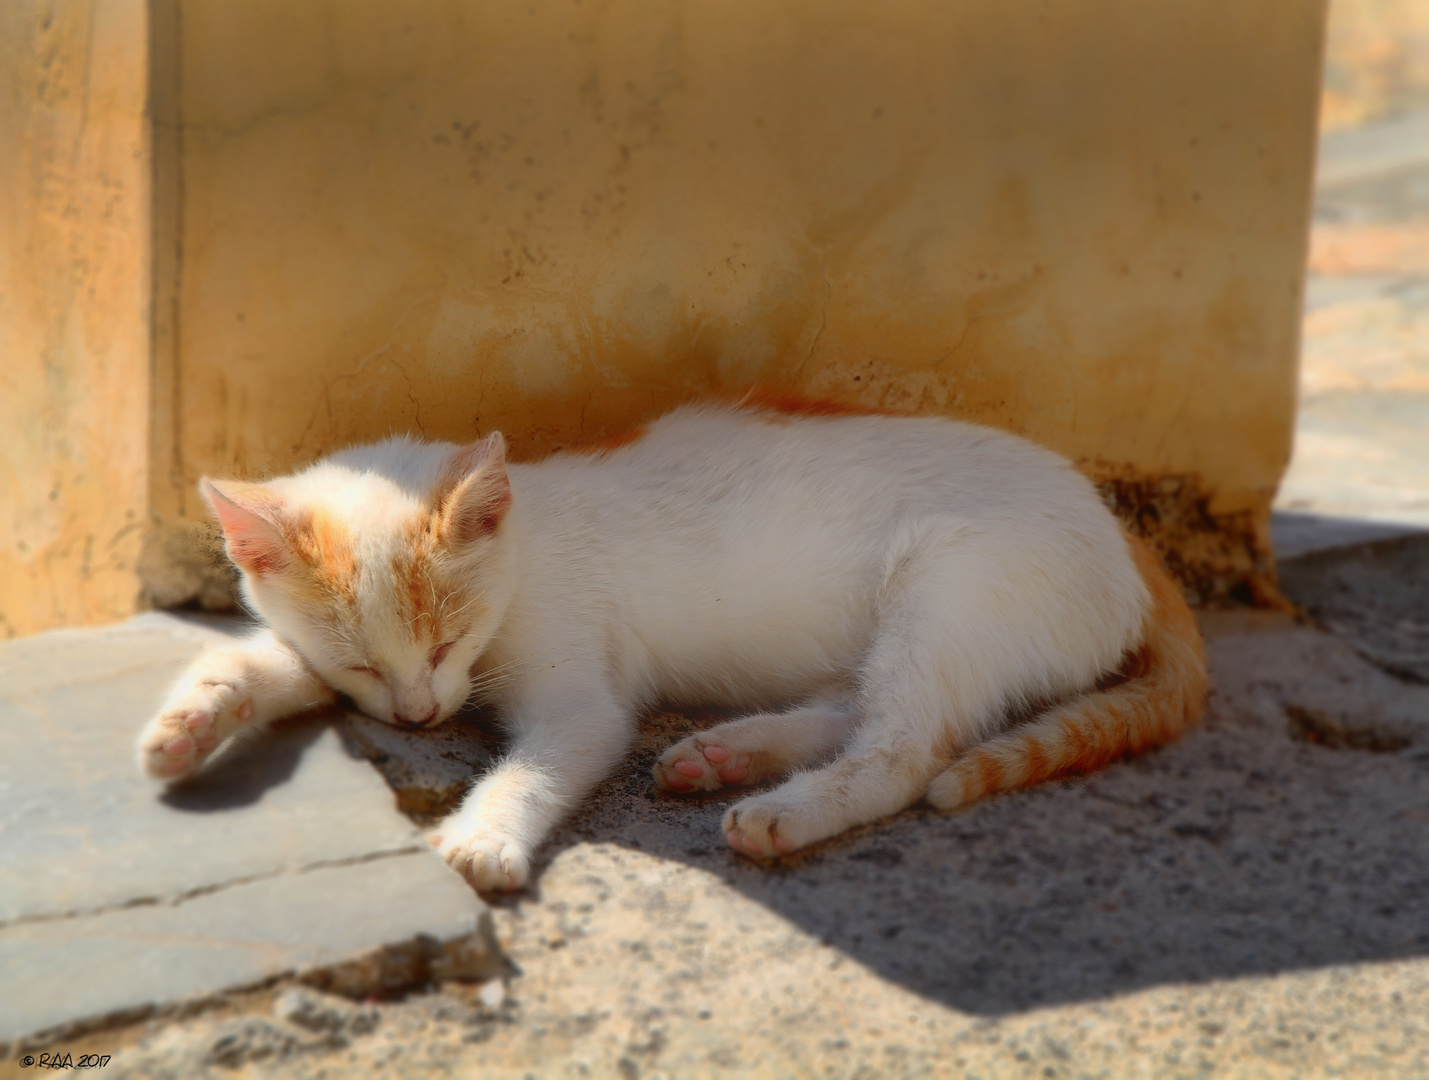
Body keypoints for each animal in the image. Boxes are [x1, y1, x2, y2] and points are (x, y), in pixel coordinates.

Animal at [136, 400, 1206, 897]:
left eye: (445, 639)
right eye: (363, 660)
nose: (419, 715)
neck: (524, 546)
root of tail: (1125, 533)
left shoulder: (578, 702)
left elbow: (538, 763)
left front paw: (485, 834)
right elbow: (267, 661)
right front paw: (192, 717)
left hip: (952, 585)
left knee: (906, 749)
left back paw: (785, 809)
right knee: (858, 706)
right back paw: (729, 751)